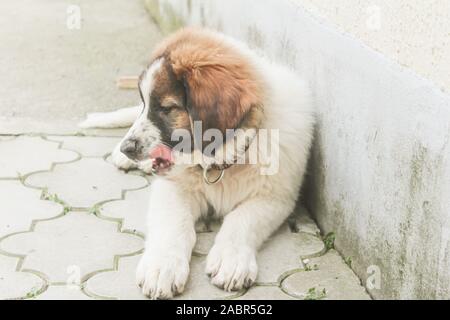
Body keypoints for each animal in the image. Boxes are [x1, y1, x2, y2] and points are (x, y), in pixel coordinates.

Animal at [80, 28, 312, 300]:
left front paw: (231, 260)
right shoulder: (173, 187)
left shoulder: (274, 197)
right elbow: (173, 224)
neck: (221, 162)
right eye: (148, 104)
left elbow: (241, 219)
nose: (127, 147)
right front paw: (162, 267)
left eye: (166, 108)